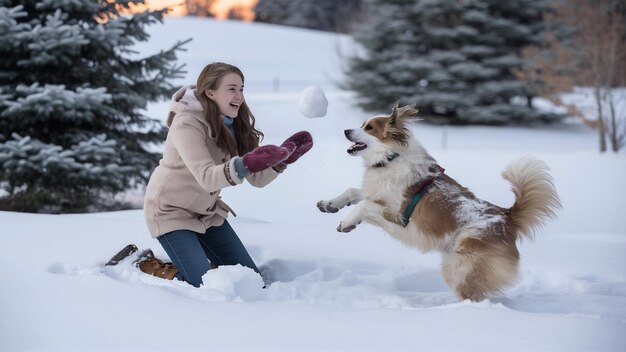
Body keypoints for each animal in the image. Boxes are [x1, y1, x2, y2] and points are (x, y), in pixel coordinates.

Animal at [320, 106, 560, 302]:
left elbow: (364, 205)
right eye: (362, 124)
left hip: (460, 268)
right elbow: (353, 192)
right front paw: (330, 204)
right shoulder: (377, 196)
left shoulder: (397, 215)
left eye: (369, 127)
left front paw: (346, 222)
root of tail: (506, 217)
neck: (391, 158)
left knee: (472, 297)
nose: (346, 131)